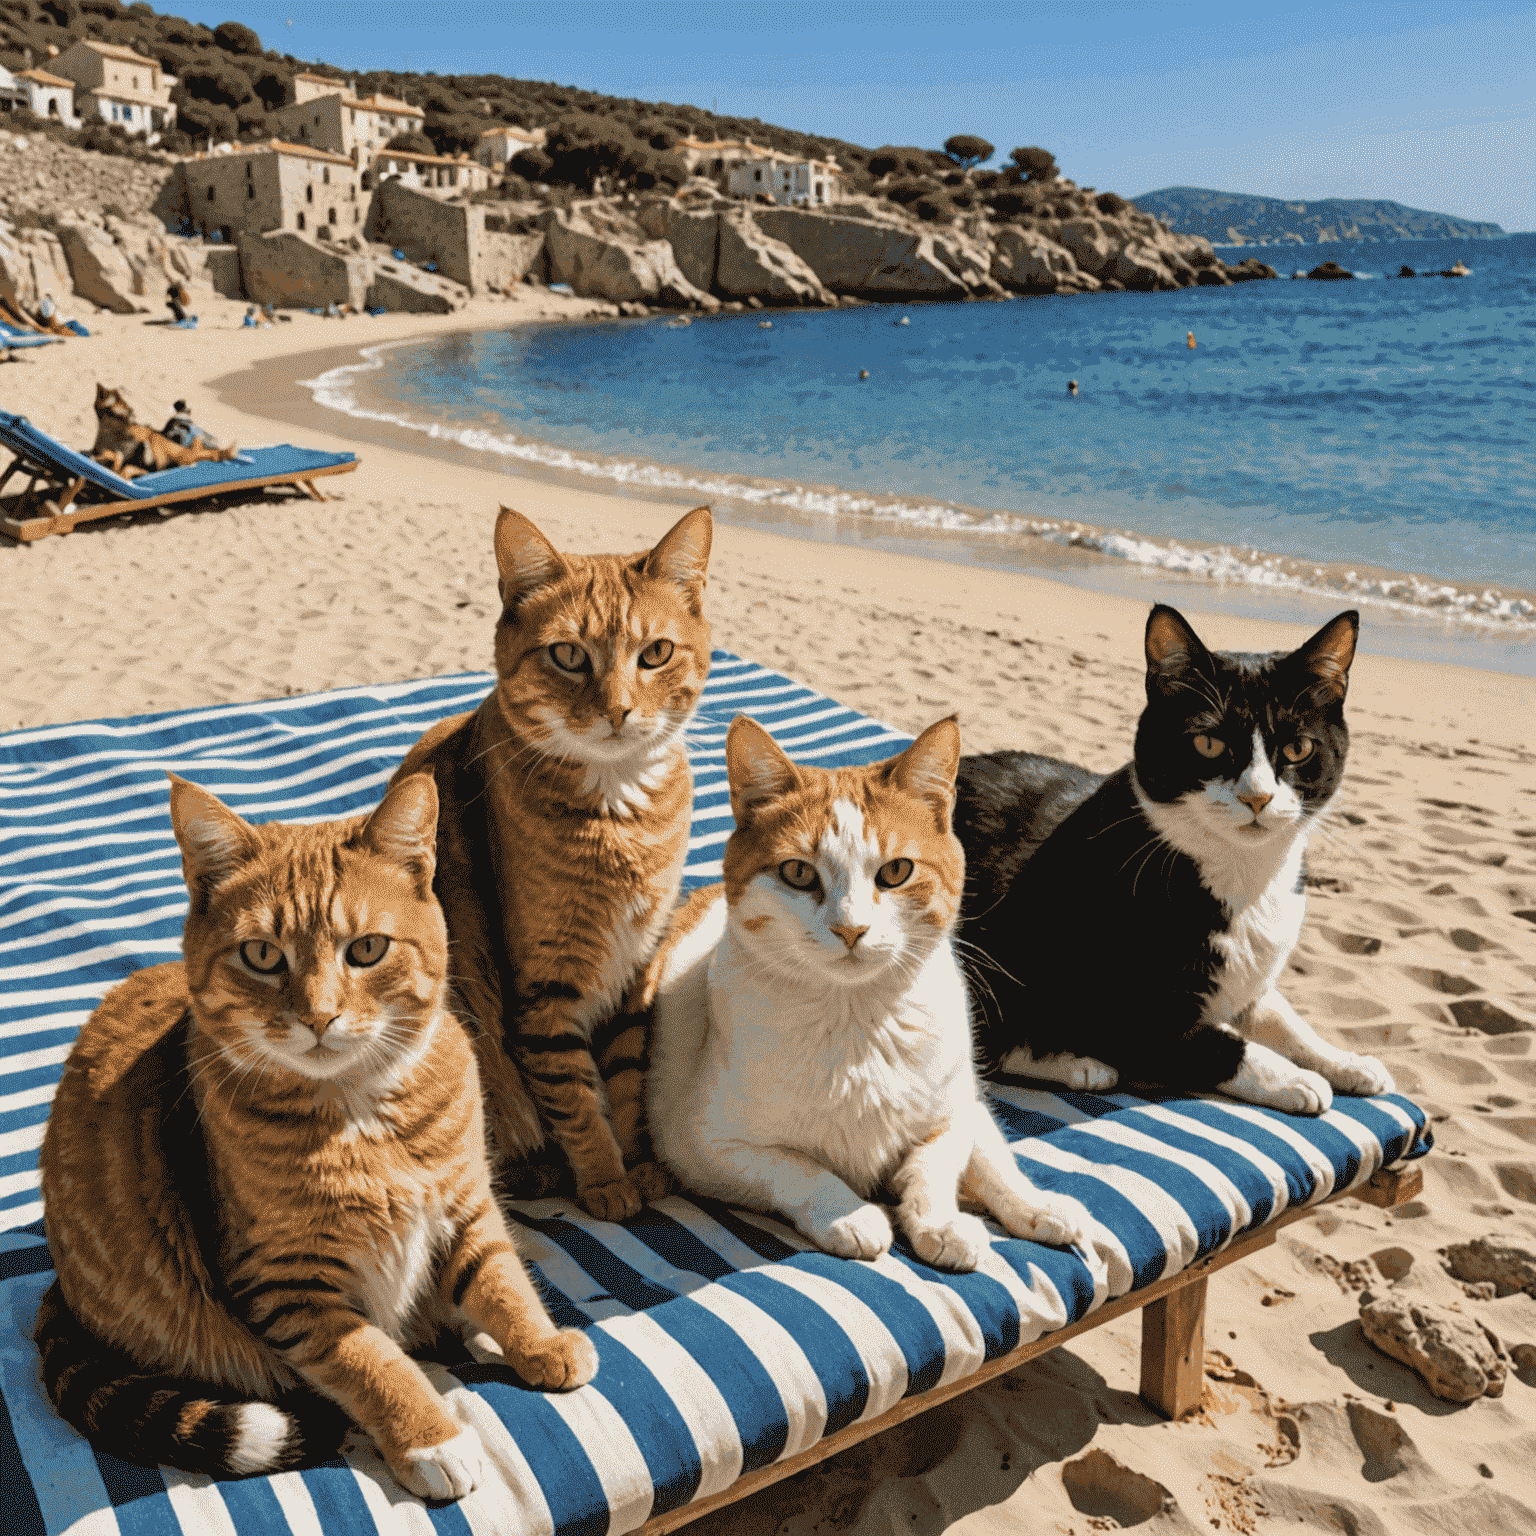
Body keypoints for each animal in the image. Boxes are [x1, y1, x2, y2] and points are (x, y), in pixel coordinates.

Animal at [38, 774, 592, 1492]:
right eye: (261, 955)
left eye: (367, 949)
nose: (319, 1016)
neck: (363, 1116)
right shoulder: (287, 1286)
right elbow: (374, 1362)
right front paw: (432, 1439)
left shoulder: (466, 1207)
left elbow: (503, 1281)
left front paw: (543, 1345)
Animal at [89, 382, 238, 473]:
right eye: (125, 413)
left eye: (129, 412)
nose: (132, 413)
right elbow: (110, 458)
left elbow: (118, 461)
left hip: (184, 456)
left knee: (207, 454)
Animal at [645, 718, 1093, 1271]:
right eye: (798, 872)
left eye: (896, 871)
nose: (850, 928)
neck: (859, 1024)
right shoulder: (701, 1146)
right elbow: (797, 1168)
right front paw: (850, 1215)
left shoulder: (953, 1110)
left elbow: (936, 1162)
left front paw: (938, 1221)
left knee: (992, 1154)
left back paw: (1038, 1203)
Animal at [952, 602, 1400, 1118]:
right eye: (1208, 744)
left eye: (1298, 748)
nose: (1258, 797)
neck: (1245, 876)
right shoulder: (1122, 1007)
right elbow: (1217, 1042)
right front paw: (1292, 1078)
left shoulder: (1251, 982)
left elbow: (1283, 1018)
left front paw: (1346, 1061)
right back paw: (1078, 1064)